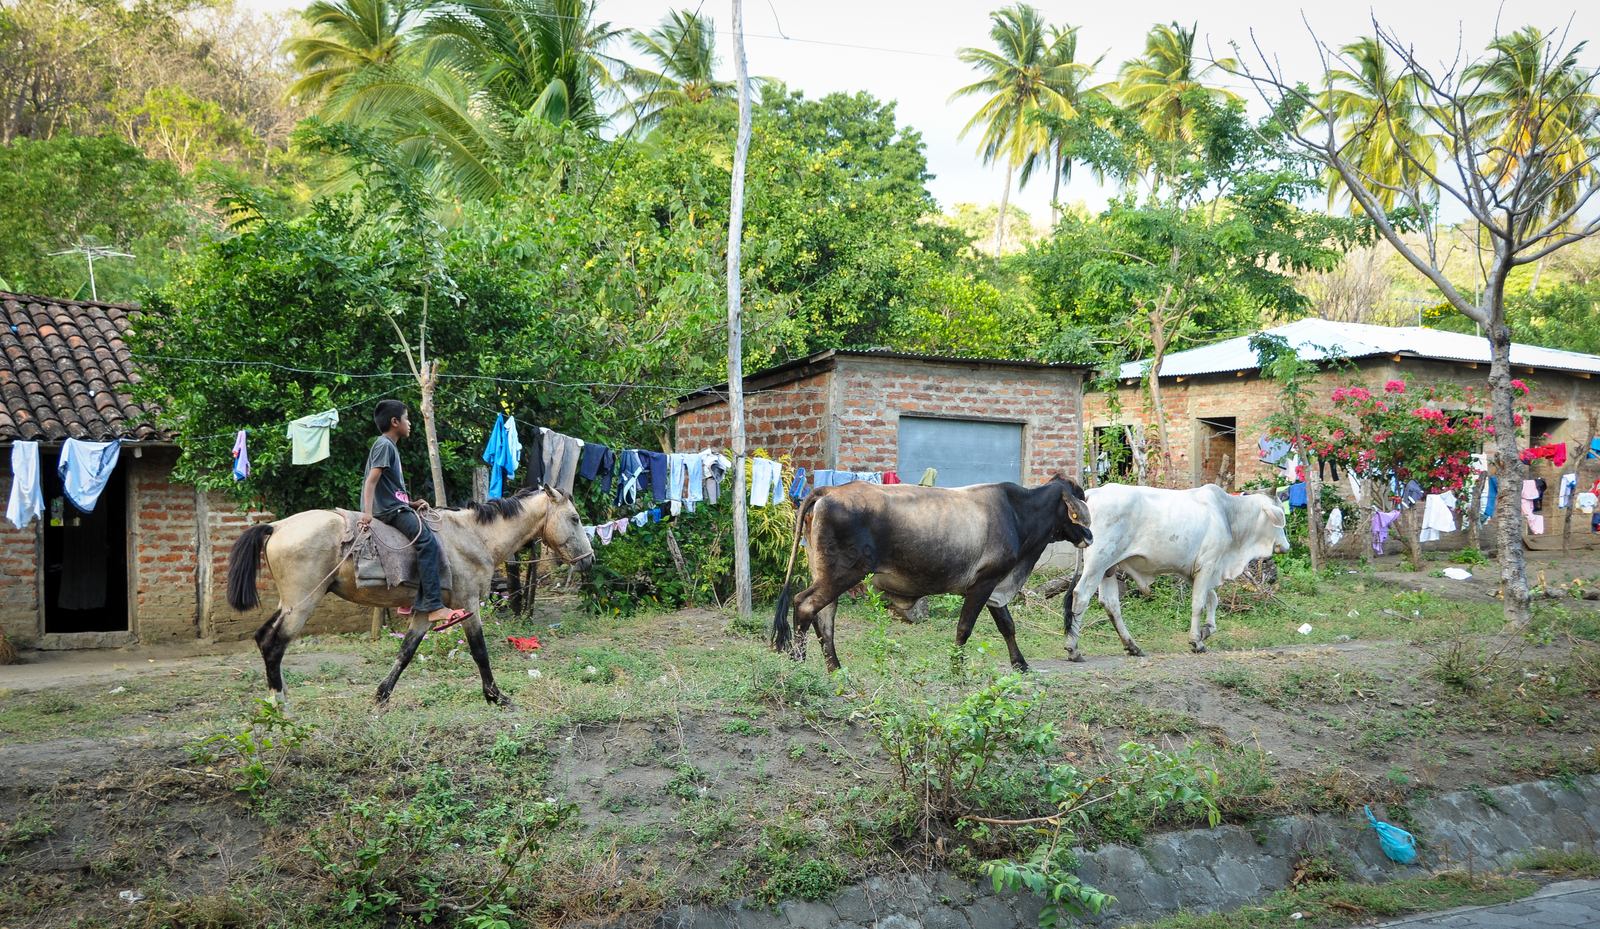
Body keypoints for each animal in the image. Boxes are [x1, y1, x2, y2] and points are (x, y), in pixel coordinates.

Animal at [225, 486, 594, 707]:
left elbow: (406, 652)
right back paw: (280, 703)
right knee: (274, 644)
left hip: (289, 604)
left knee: (263, 638)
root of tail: (278, 526)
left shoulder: (423, 612)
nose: (589, 560)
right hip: (302, 604)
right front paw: (495, 696)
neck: (474, 536)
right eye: (575, 518)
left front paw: (381, 696)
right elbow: (480, 652)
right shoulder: (469, 606)